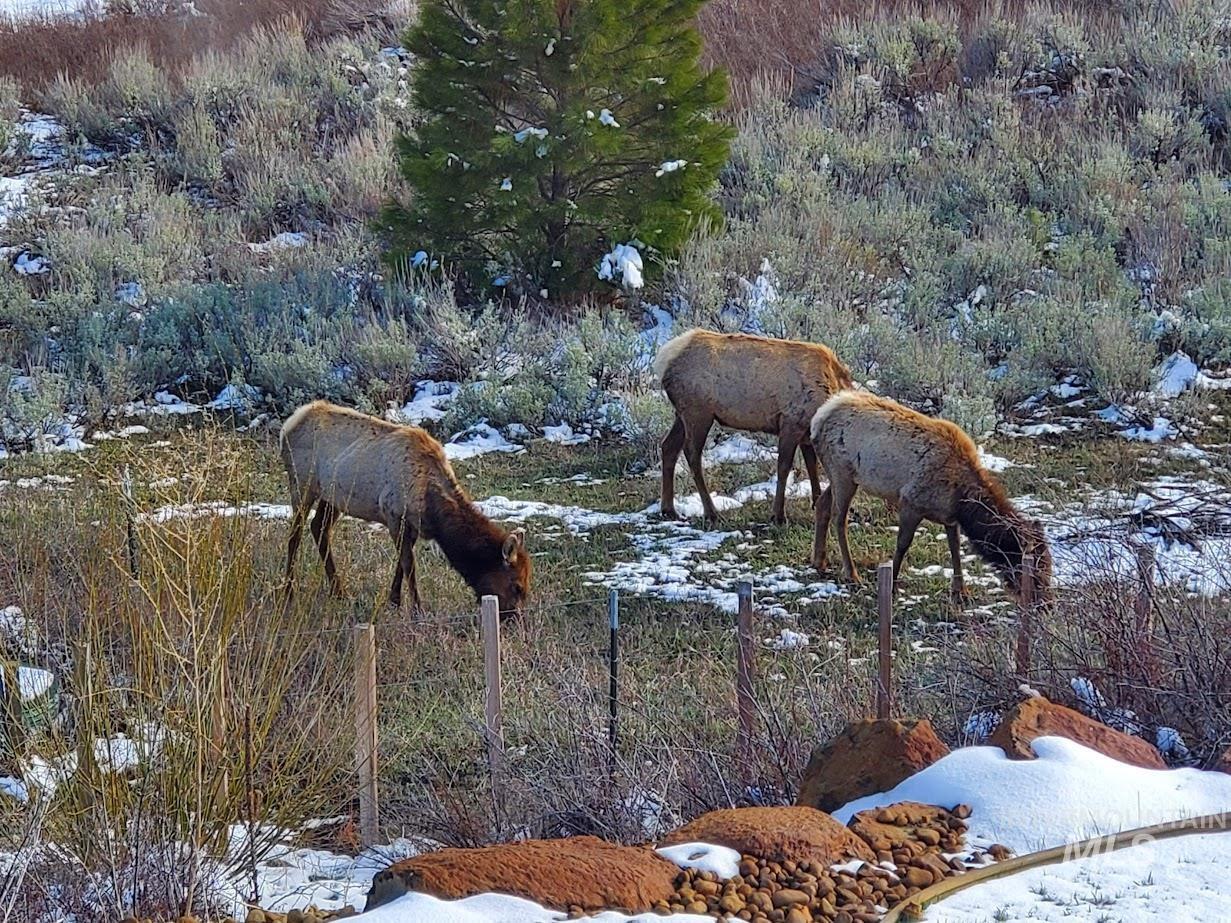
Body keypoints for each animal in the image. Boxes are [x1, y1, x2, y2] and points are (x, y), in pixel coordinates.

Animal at [279, 401, 531, 617]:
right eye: (517, 586)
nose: (515, 620)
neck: (432, 509)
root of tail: (287, 426)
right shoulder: (393, 514)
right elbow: (409, 566)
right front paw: (417, 610)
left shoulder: (413, 526)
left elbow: (401, 564)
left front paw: (394, 601)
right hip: (302, 484)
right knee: (294, 535)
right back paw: (288, 592)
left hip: (333, 497)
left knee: (319, 527)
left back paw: (339, 591)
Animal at [652, 328, 854, 526]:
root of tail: (663, 361)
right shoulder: (790, 423)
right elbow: (784, 467)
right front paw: (778, 516)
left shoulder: (805, 432)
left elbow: (812, 466)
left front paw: (815, 501)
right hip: (698, 412)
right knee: (692, 454)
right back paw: (711, 513)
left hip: (681, 415)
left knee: (668, 446)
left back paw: (669, 510)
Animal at [809, 390, 1052, 605]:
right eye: (1036, 567)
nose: (1045, 603)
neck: (962, 502)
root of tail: (818, 420)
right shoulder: (911, 502)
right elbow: (903, 544)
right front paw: (892, 585)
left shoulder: (949, 517)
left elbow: (955, 548)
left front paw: (961, 592)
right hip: (842, 472)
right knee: (840, 519)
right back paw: (852, 575)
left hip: (841, 475)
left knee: (822, 503)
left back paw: (819, 561)